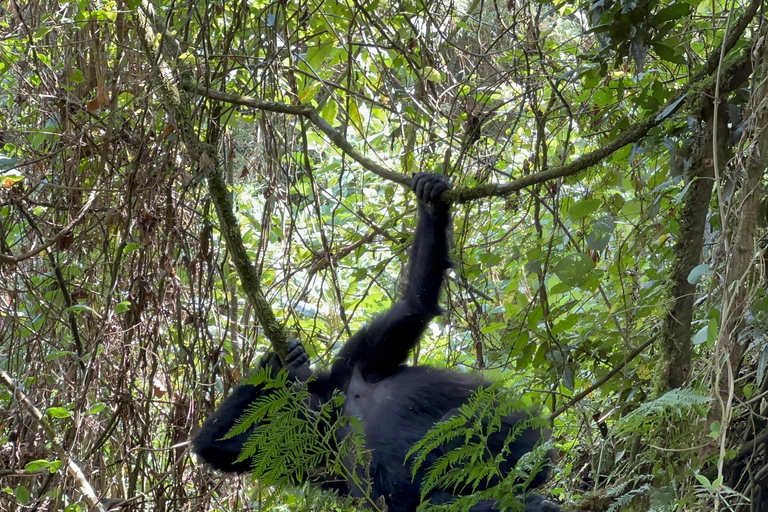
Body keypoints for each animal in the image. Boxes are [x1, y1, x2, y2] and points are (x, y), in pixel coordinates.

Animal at [194, 173, 560, 512]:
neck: (336, 409)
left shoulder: (356, 359)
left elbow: (414, 304)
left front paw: (431, 205)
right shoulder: (302, 451)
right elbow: (215, 446)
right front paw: (273, 365)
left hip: (524, 438)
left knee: (463, 427)